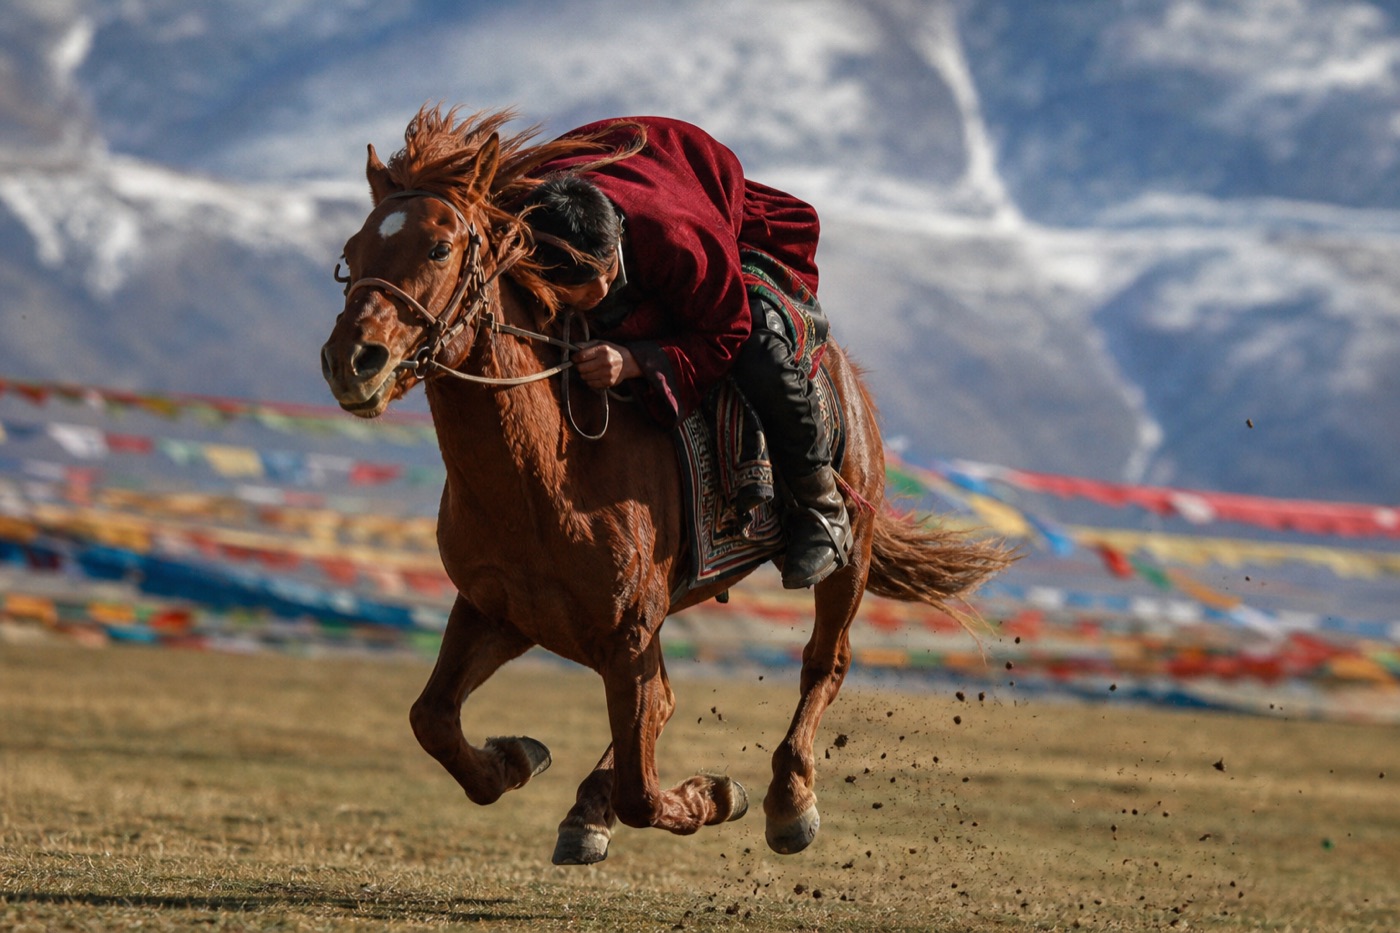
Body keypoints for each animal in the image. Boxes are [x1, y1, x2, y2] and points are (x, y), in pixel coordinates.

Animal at [320, 107, 1012, 864]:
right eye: (353, 250)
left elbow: (644, 790)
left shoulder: (624, 632)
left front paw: (718, 796)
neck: (542, 477)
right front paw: (517, 759)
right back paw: (589, 809)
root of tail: (846, 372)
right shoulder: (502, 611)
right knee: (661, 708)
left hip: (847, 560)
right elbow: (434, 717)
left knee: (823, 662)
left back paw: (788, 798)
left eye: (441, 247)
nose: (352, 361)